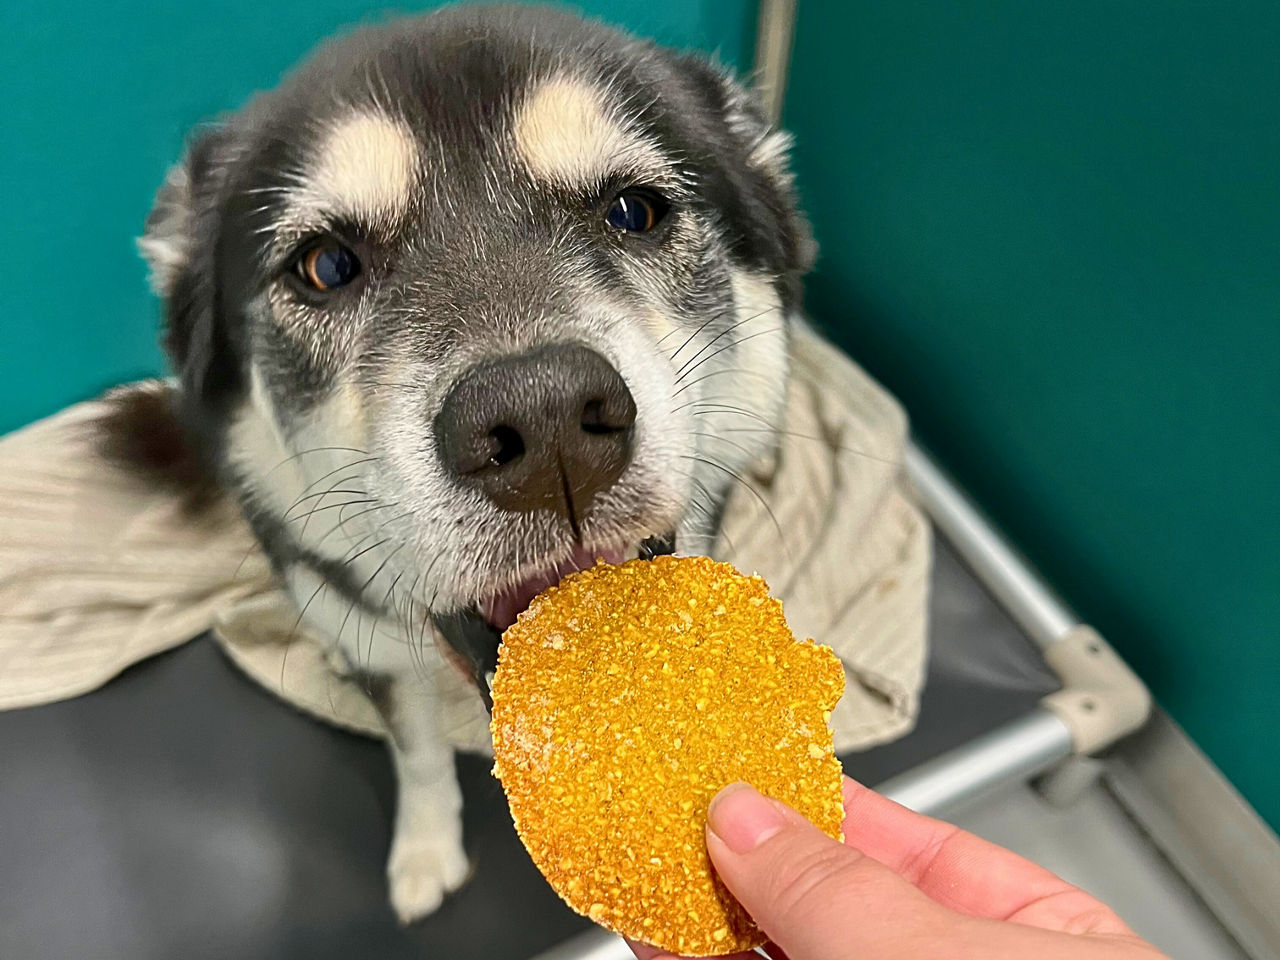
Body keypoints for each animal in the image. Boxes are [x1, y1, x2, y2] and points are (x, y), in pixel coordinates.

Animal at [132, 3, 808, 926]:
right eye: (326, 265)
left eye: (635, 210)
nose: (546, 422)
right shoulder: (373, 647)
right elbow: (416, 753)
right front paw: (425, 849)